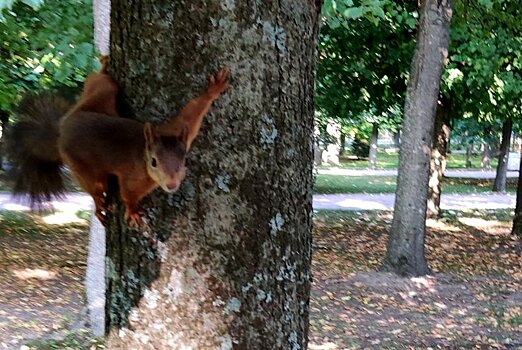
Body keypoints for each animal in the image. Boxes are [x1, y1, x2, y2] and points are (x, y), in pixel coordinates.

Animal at [6, 56, 230, 227]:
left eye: (184, 160)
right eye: (154, 162)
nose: (171, 184)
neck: (143, 153)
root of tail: (62, 129)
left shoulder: (176, 130)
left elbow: (191, 113)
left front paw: (213, 90)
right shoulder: (134, 178)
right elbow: (128, 194)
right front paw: (133, 212)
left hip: (100, 94)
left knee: (97, 80)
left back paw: (103, 66)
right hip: (81, 165)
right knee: (95, 188)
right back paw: (99, 207)